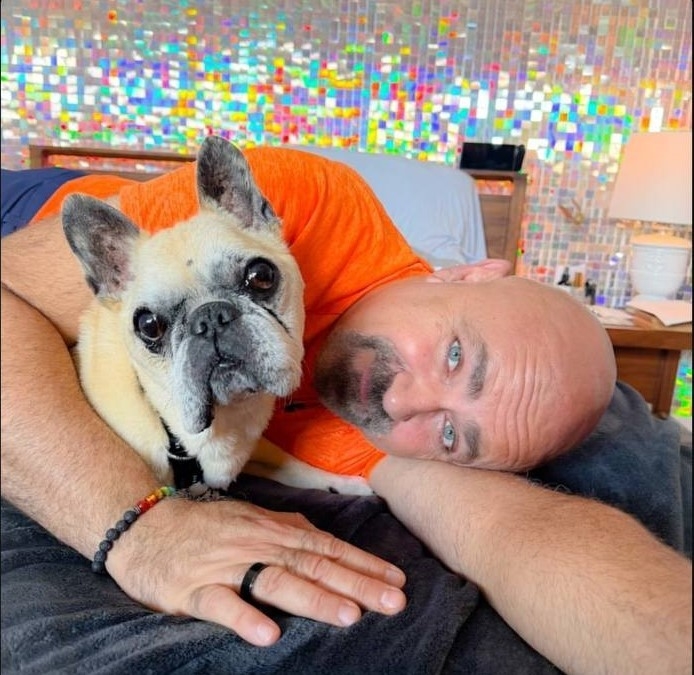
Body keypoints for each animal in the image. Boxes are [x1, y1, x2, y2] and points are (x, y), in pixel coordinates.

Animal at [63, 135, 371, 495]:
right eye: (149, 325)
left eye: (261, 275)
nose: (209, 318)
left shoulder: (252, 453)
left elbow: (292, 465)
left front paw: (342, 484)